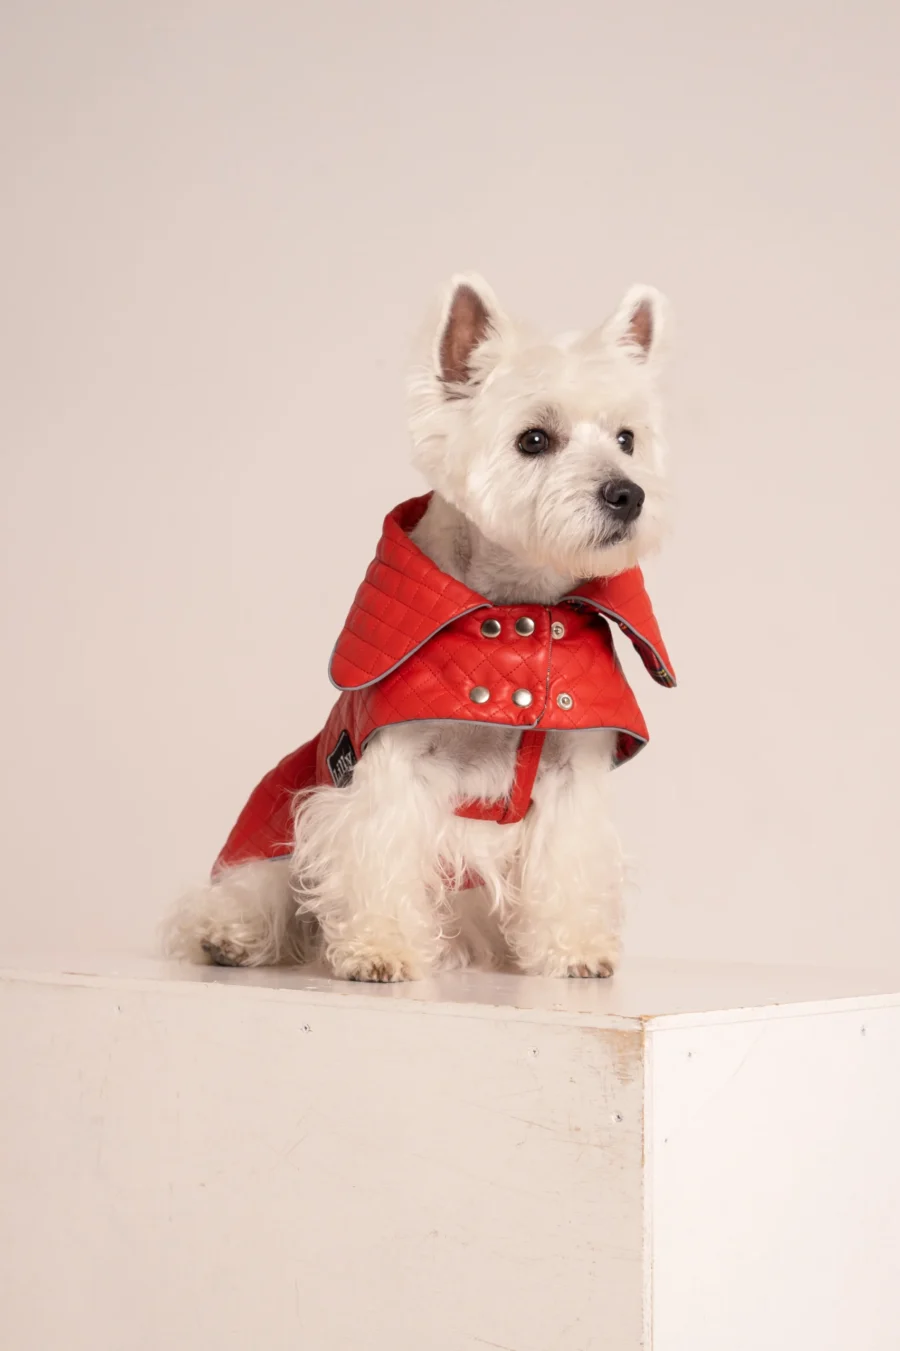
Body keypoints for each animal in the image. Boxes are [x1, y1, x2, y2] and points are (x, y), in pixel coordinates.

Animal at [164, 282, 672, 983]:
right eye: (534, 438)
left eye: (627, 438)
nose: (628, 494)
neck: (517, 618)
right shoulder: (388, 767)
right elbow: (377, 852)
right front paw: (380, 948)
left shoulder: (574, 776)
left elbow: (569, 864)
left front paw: (573, 948)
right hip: (276, 831)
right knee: (258, 890)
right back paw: (229, 935)